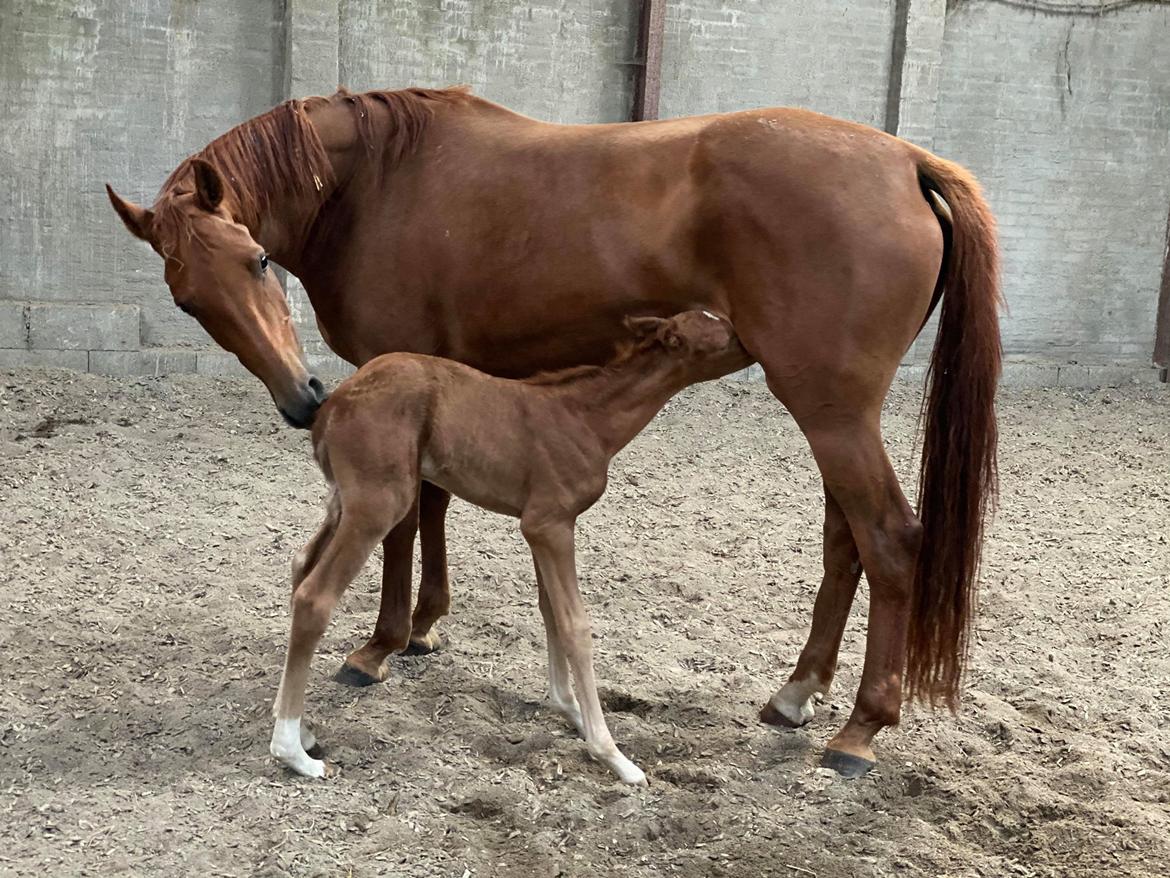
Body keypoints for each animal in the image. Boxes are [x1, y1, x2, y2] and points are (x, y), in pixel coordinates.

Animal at [271, 309, 748, 782]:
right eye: (723, 335)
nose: (751, 344)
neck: (588, 419)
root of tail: (333, 405)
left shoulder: (539, 526)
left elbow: (549, 611)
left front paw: (569, 709)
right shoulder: (551, 525)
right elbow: (575, 625)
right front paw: (612, 753)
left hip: (343, 501)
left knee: (299, 567)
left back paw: (302, 728)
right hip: (377, 505)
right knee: (315, 596)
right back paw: (293, 751)